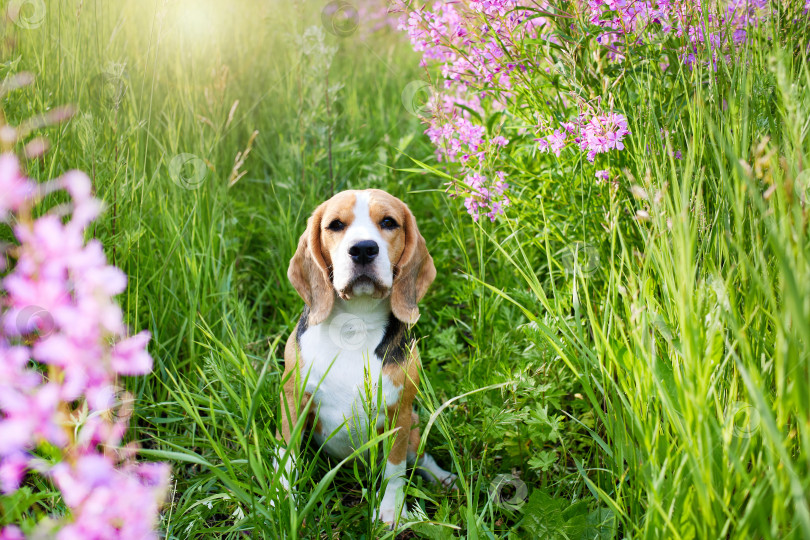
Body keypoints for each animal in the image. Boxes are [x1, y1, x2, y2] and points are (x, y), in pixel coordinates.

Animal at [276, 189, 454, 524]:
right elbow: (287, 457)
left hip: (413, 423)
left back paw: (441, 477)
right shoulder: (293, 401)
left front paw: (391, 509)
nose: (363, 249)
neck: (354, 326)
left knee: (420, 456)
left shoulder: (399, 413)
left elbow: (395, 469)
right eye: (335, 224)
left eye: (389, 222)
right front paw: (281, 503)